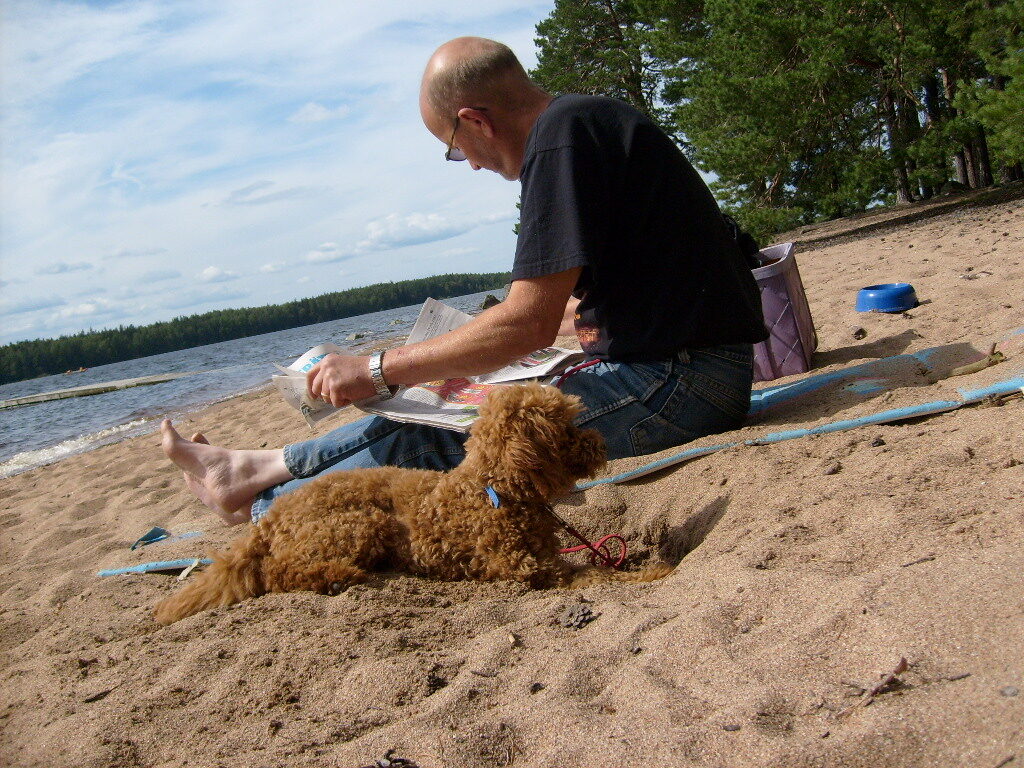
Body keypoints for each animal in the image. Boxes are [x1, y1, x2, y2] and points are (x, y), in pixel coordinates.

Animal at [149, 382, 663, 626]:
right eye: (566, 430)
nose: (599, 443)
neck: (495, 490)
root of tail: (269, 519)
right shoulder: (528, 568)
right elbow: (596, 575)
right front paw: (656, 573)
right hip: (357, 525)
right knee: (280, 573)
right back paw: (337, 577)